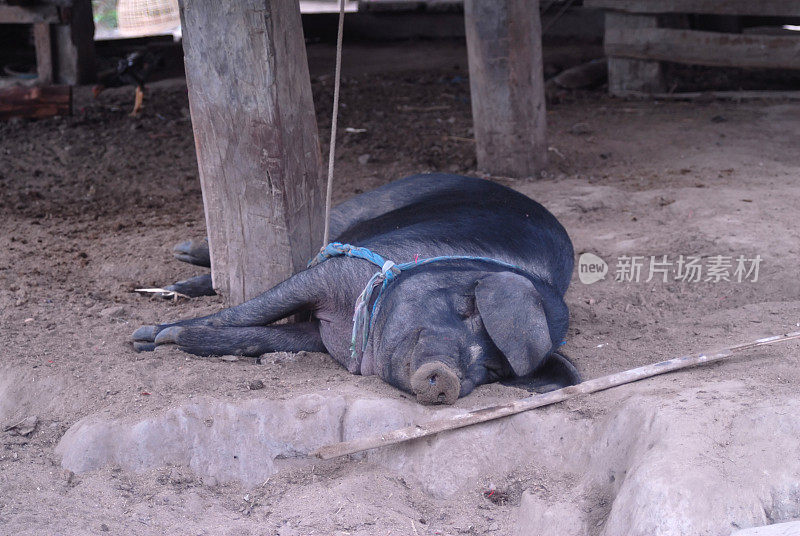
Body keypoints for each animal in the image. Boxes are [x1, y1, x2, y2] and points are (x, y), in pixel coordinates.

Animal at [133, 174, 580, 404]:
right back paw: (179, 262)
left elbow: (260, 336)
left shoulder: (319, 334)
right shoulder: (336, 271)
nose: (449, 380)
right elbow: (253, 308)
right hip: (359, 207)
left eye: (493, 369)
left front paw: (174, 338)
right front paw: (148, 337)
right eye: (465, 308)